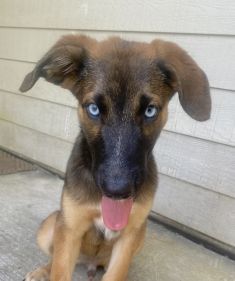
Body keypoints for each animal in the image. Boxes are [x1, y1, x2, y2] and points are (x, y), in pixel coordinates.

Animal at [19, 35, 211, 280]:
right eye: (93, 109)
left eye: (150, 111)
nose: (118, 191)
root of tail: (90, 262)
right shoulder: (70, 227)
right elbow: (59, 270)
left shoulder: (129, 234)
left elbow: (117, 272)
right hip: (50, 226)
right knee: (53, 256)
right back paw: (42, 270)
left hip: (141, 233)